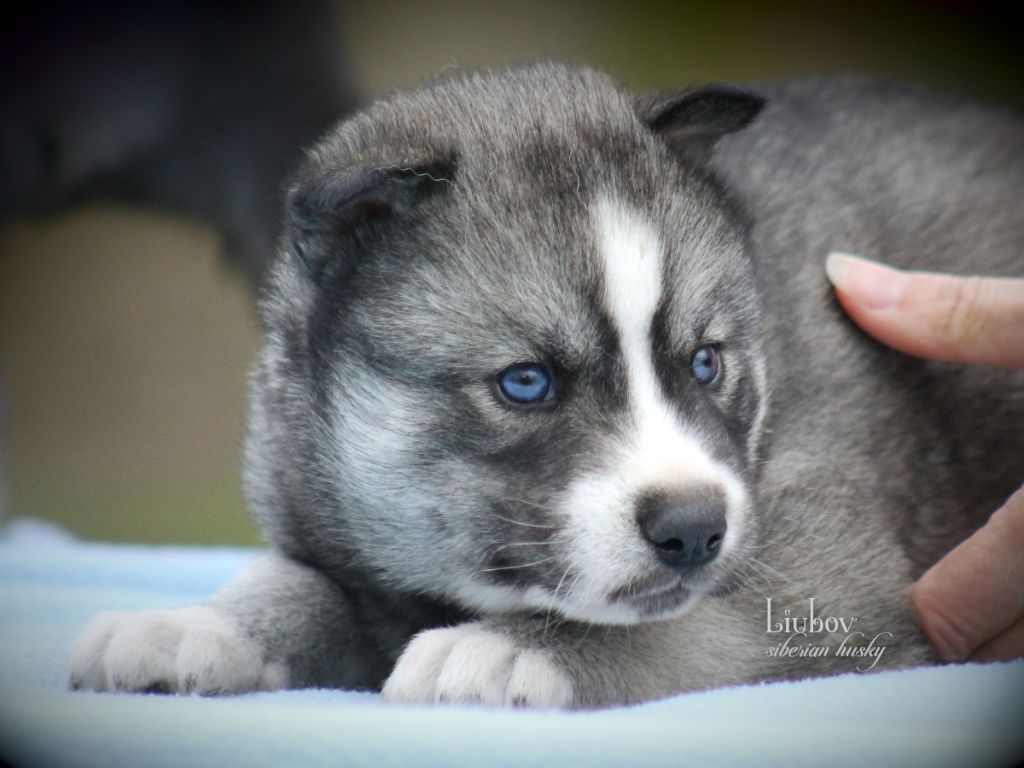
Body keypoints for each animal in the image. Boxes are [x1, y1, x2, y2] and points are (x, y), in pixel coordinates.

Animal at [70, 64, 1024, 708]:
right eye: (525, 383)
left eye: (706, 362)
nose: (693, 529)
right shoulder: (335, 530)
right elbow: (293, 583)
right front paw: (191, 625)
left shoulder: (828, 563)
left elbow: (693, 622)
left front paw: (508, 650)